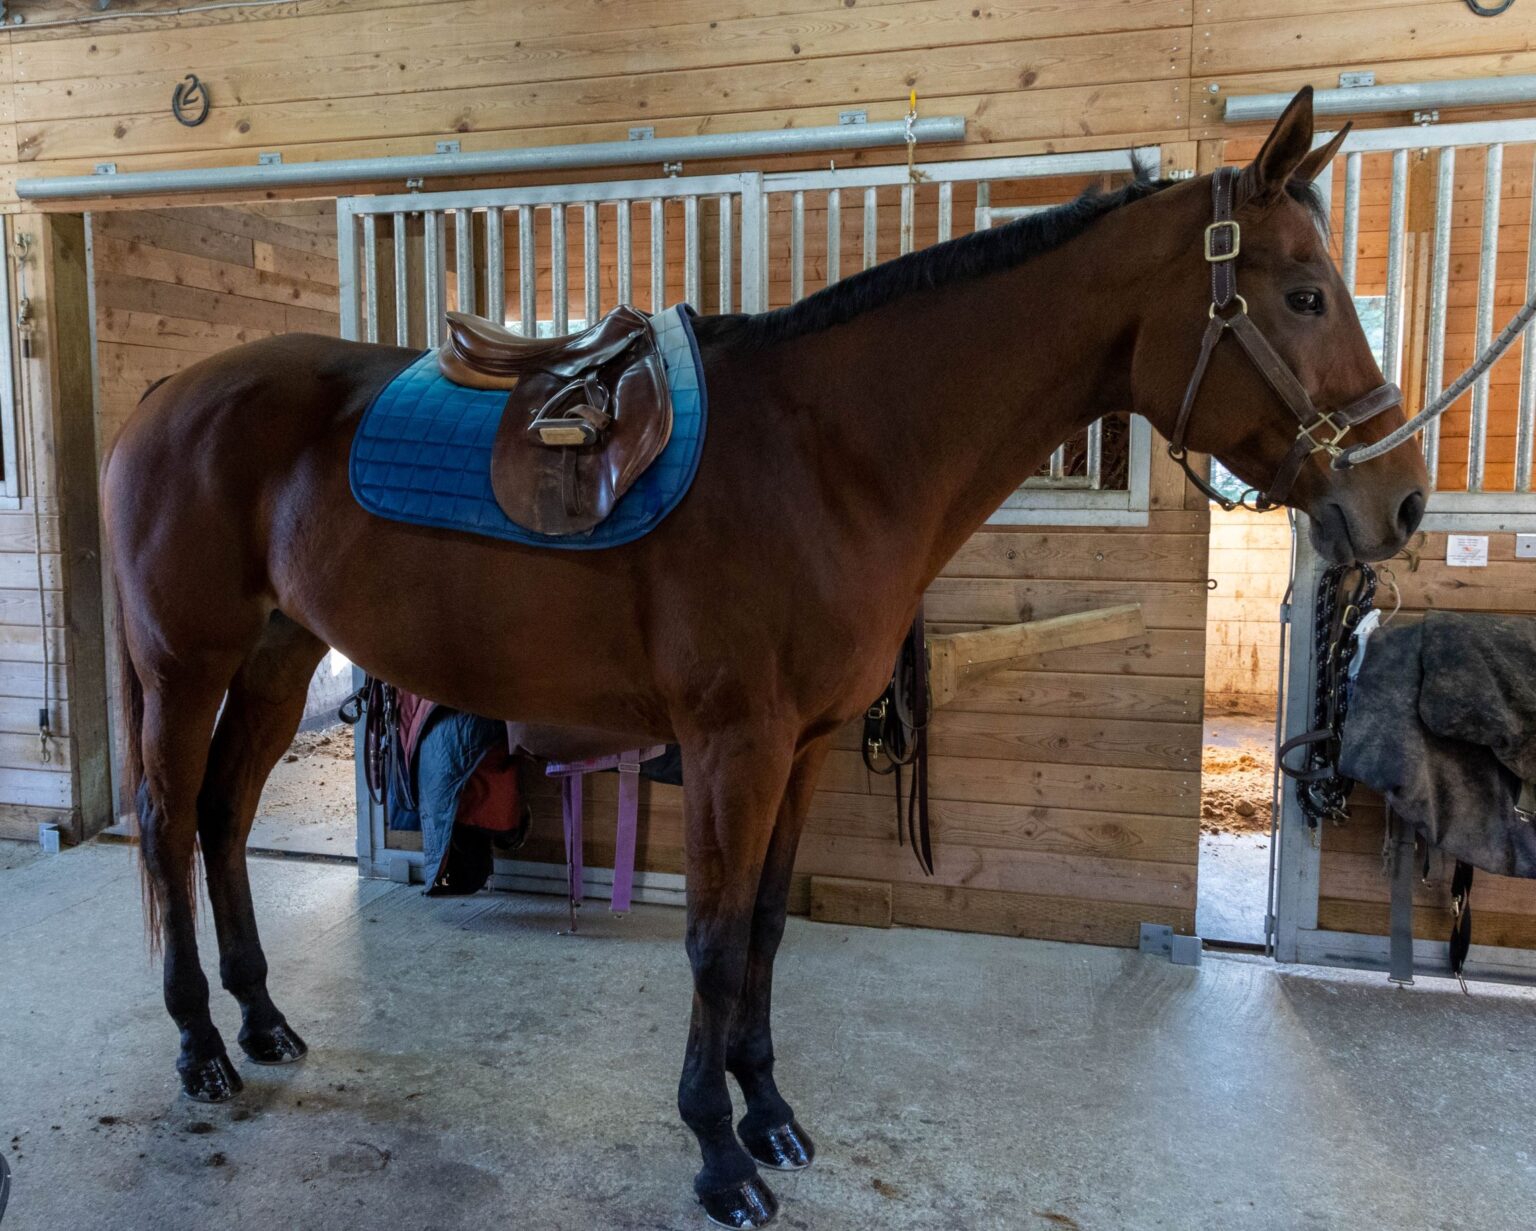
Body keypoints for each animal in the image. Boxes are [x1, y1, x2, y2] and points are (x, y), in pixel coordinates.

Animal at [102, 87, 1426, 1228]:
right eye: (1305, 295)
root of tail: (169, 397)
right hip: (185, 667)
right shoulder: (733, 747)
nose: (1402, 501)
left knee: (222, 820)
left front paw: (772, 1112)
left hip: (276, 659)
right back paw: (199, 1048)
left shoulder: (809, 745)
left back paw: (264, 1021)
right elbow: (713, 935)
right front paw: (717, 1153)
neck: (828, 454)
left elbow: (769, 929)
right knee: (169, 823)